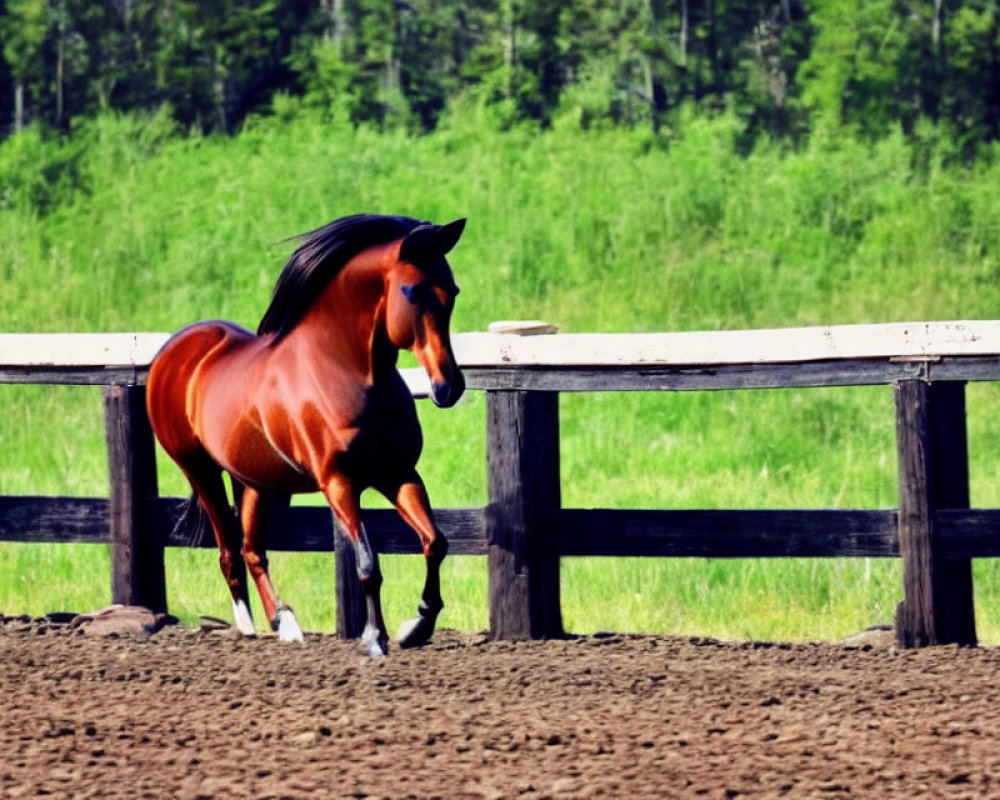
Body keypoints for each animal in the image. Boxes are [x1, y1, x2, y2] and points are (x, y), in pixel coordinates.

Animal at [146, 214, 466, 656]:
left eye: (451, 292)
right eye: (413, 291)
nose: (448, 388)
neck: (350, 371)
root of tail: (174, 349)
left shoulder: (398, 474)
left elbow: (436, 543)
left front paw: (414, 629)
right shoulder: (339, 483)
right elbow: (368, 563)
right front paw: (375, 638)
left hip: (252, 480)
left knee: (252, 550)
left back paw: (285, 624)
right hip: (200, 470)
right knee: (229, 551)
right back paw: (249, 627)